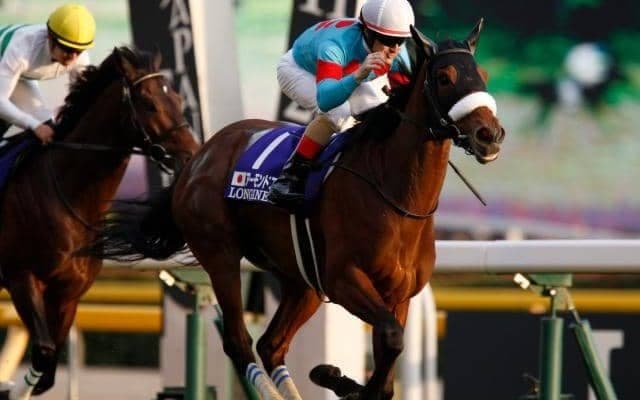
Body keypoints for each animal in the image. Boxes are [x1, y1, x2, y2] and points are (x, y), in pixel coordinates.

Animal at [0, 46, 200, 399]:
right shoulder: (21, 277)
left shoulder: (68, 292)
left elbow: (48, 371)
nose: (192, 155)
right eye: (149, 103)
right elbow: (44, 353)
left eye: (177, 97)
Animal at [95, 21, 505, 400]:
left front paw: (340, 379)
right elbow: (391, 340)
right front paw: (340, 380)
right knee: (239, 341)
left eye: (482, 76)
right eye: (445, 77)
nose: (490, 135)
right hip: (221, 255)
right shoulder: (344, 279)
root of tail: (200, 157)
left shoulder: (398, 294)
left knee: (271, 344)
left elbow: (389, 362)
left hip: (301, 279)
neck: (397, 199)